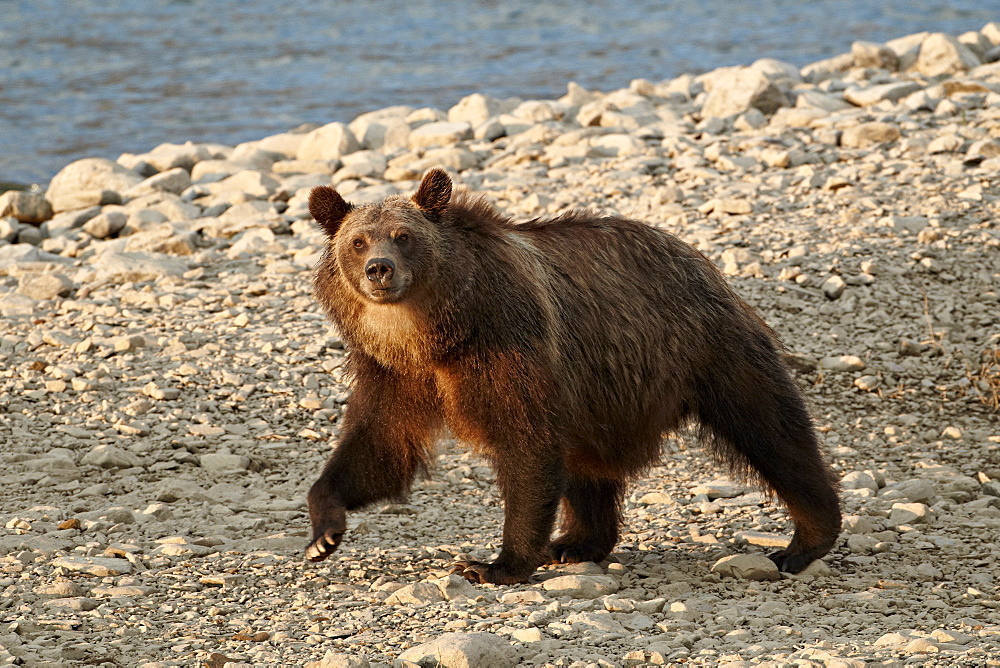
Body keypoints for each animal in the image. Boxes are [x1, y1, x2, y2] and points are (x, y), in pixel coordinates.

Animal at [306, 168, 844, 584]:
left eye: (404, 236)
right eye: (357, 241)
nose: (379, 269)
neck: (435, 333)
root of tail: (698, 257)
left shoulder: (506, 341)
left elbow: (526, 442)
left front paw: (495, 564)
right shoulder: (396, 373)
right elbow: (381, 445)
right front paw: (323, 532)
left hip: (705, 348)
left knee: (771, 429)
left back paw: (803, 542)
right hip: (601, 392)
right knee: (589, 465)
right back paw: (577, 542)